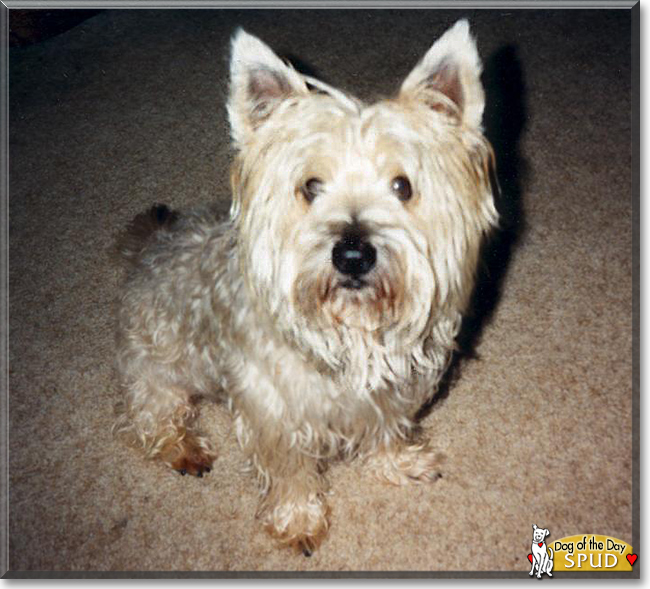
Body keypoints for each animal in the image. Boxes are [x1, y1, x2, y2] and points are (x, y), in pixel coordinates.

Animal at [112, 20, 496, 552]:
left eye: (402, 186)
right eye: (311, 187)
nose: (353, 254)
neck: (352, 330)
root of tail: (149, 246)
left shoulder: (390, 393)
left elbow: (387, 429)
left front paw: (398, 463)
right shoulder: (272, 410)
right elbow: (289, 470)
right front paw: (297, 520)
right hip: (158, 360)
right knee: (150, 412)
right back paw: (181, 447)